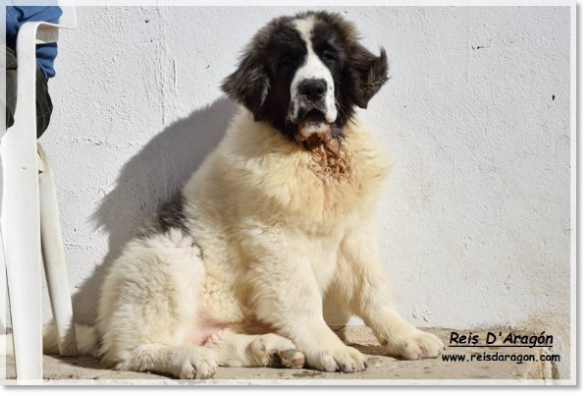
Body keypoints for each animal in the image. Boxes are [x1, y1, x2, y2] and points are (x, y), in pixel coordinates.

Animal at [43, 10, 444, 378]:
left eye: (330, 57)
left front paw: (406, 336)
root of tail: (101, 326)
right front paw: (332, 348)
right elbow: (304, 300)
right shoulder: (276, 241)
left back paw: (270, 348)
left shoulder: (353, 233)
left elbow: (373, 289)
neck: (313, 155)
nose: (313, 88)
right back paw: (185, 358)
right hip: (168, 255)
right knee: (127, 351)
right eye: (287, 62)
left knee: (215, 340)